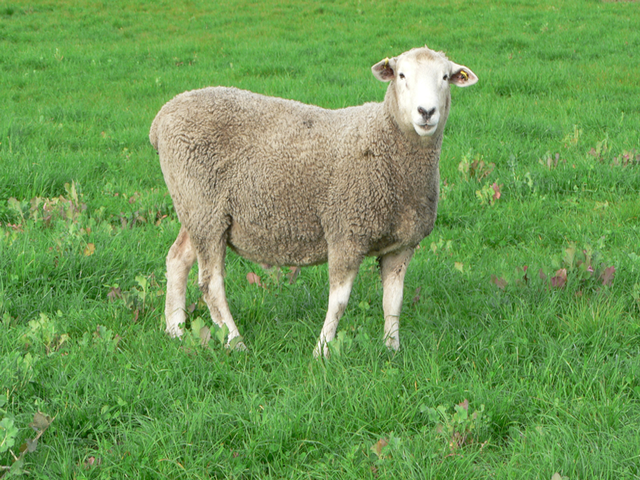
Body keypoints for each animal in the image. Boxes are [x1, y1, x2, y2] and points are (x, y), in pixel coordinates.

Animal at [149, 45, 478, 357]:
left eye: (445, 77)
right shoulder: (346, 231)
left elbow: (393, 302)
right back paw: (235, 341)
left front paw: (391, 348)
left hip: (195, 207)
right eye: (401, 75)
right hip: (205, 207)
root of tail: (162, 117)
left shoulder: (402, 245)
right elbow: (340, 302)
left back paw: (175, 329)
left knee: (177, 258)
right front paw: (321, 351)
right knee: (211, 283)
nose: (426, 112)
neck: (387, 143)